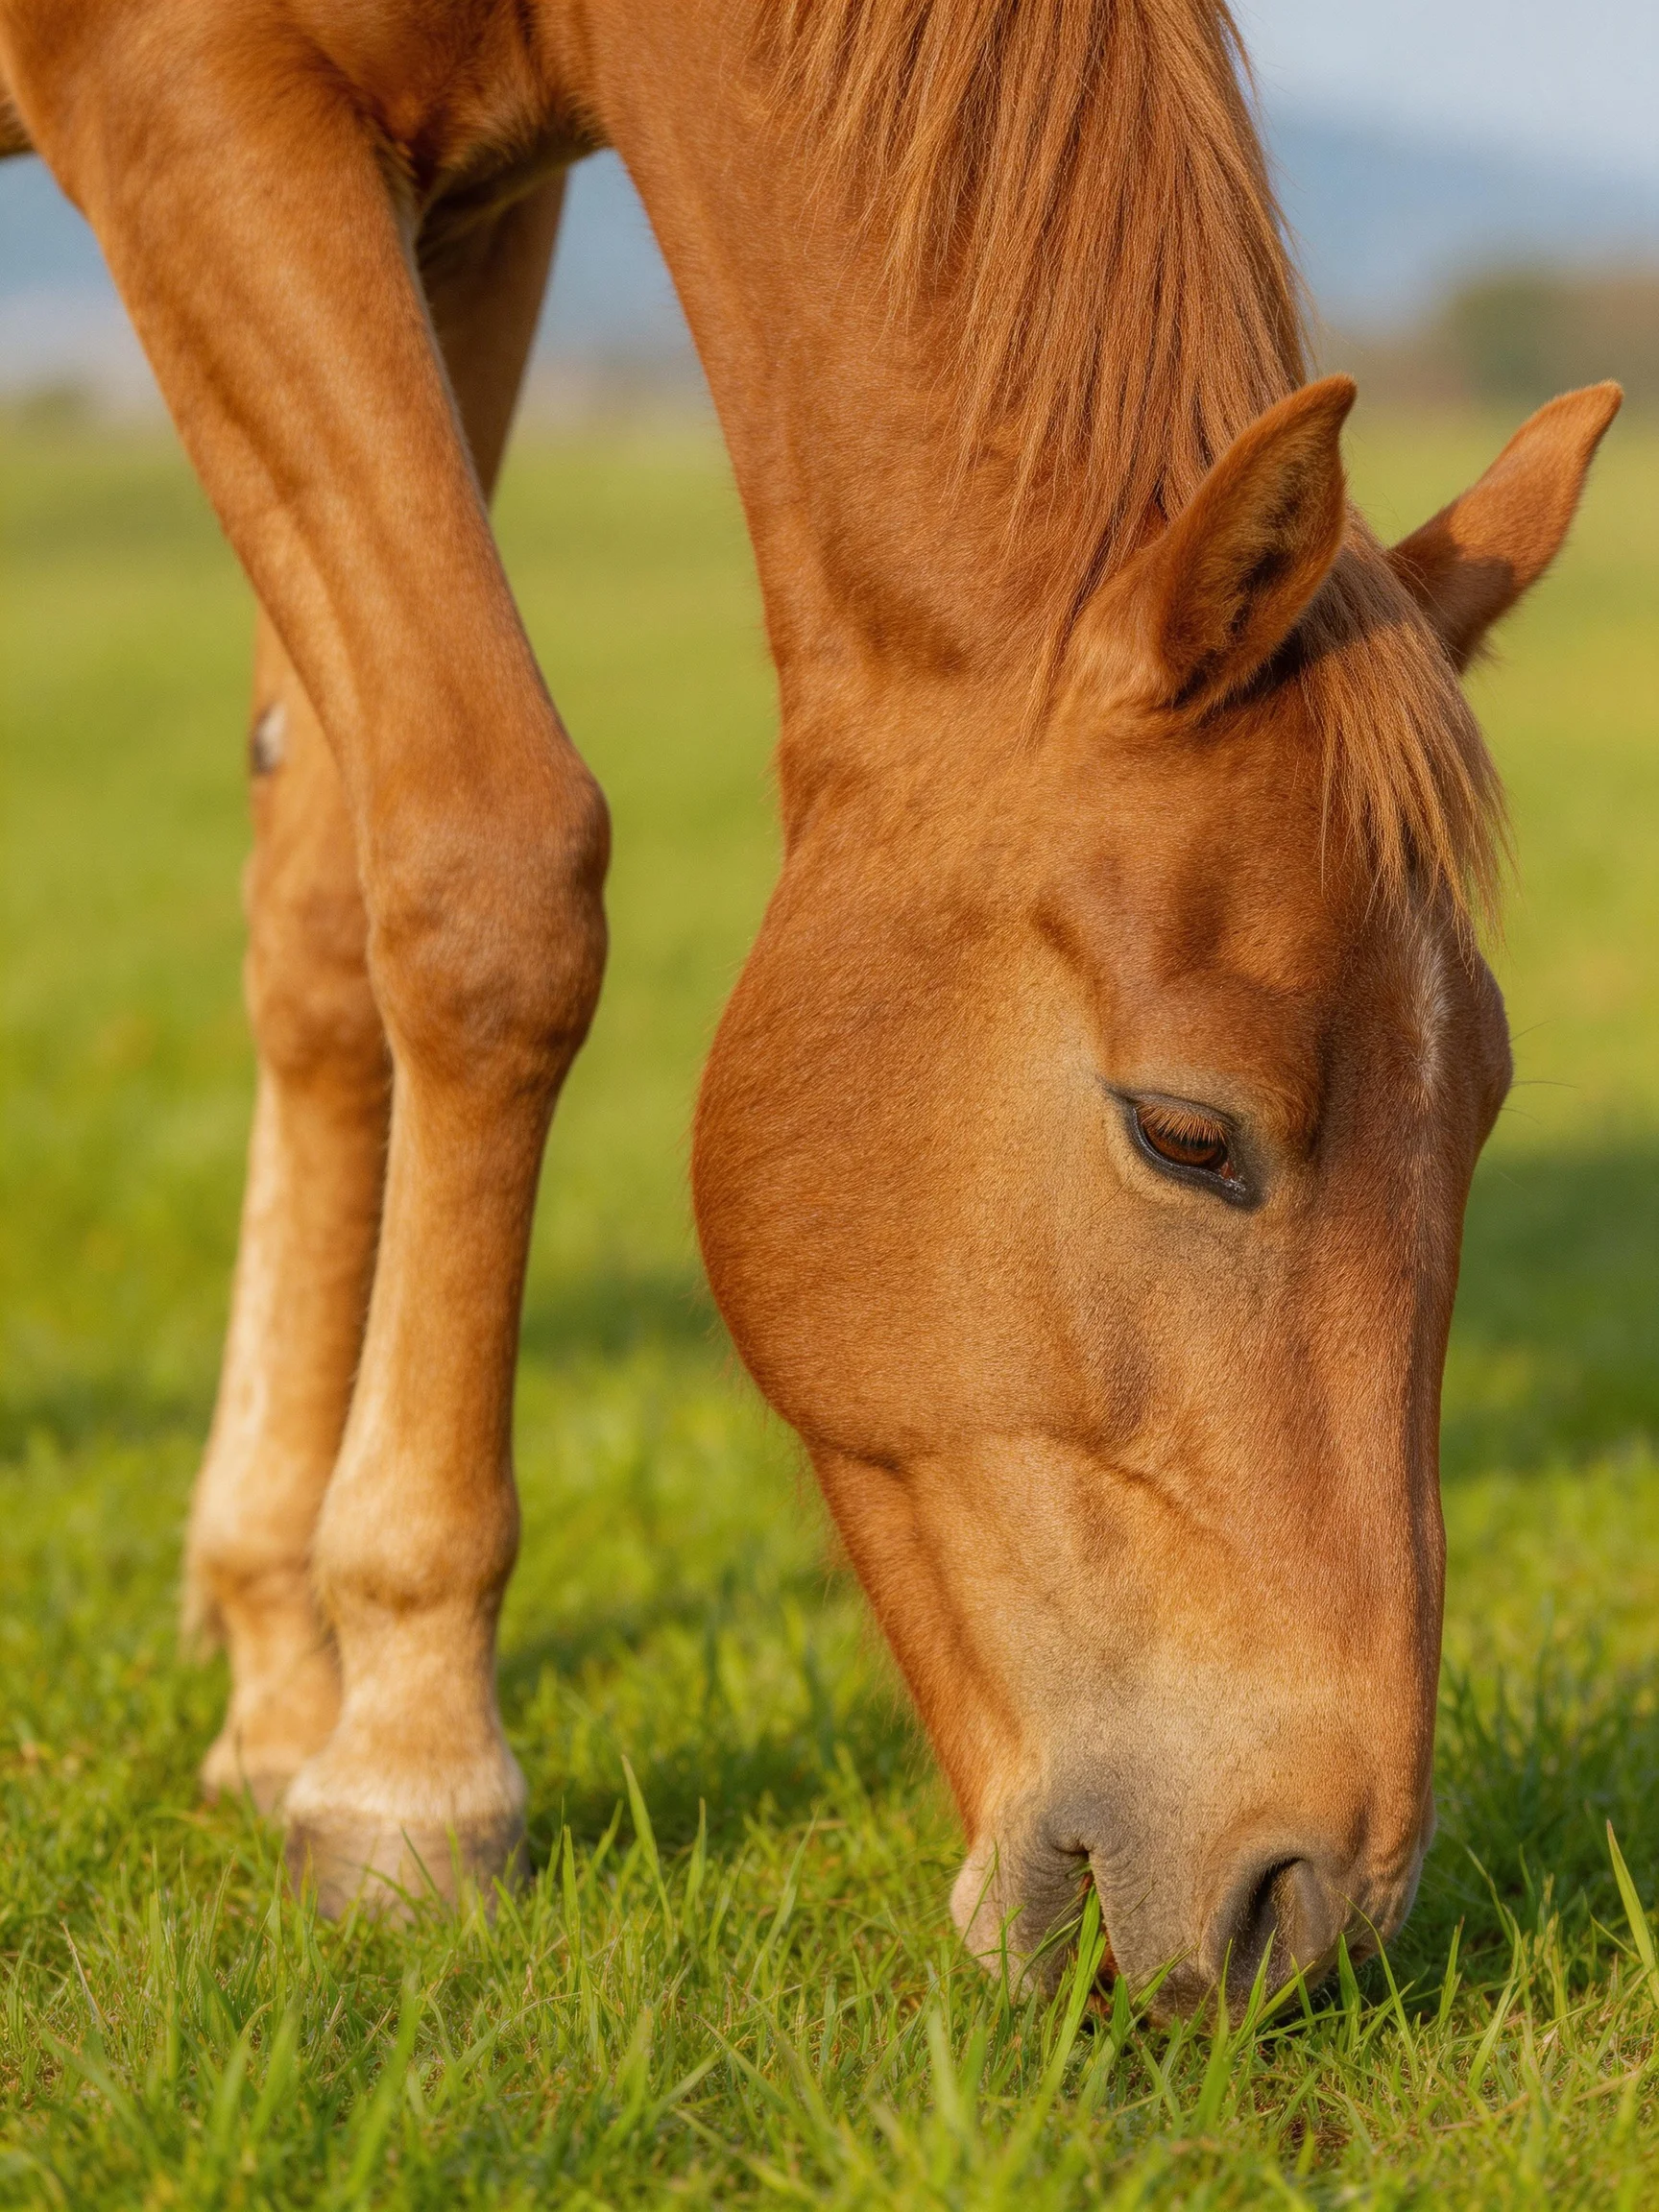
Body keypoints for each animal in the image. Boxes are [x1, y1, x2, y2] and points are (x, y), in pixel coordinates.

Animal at [0, 0, 1619, 2017]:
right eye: (1184, 1131)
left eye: (1476, 1115)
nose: (1304, 1902)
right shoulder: (185, 98)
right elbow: (488, 866)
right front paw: (414, 1761)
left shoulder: (463, 202)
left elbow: (321, 917)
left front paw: (288, 1674)